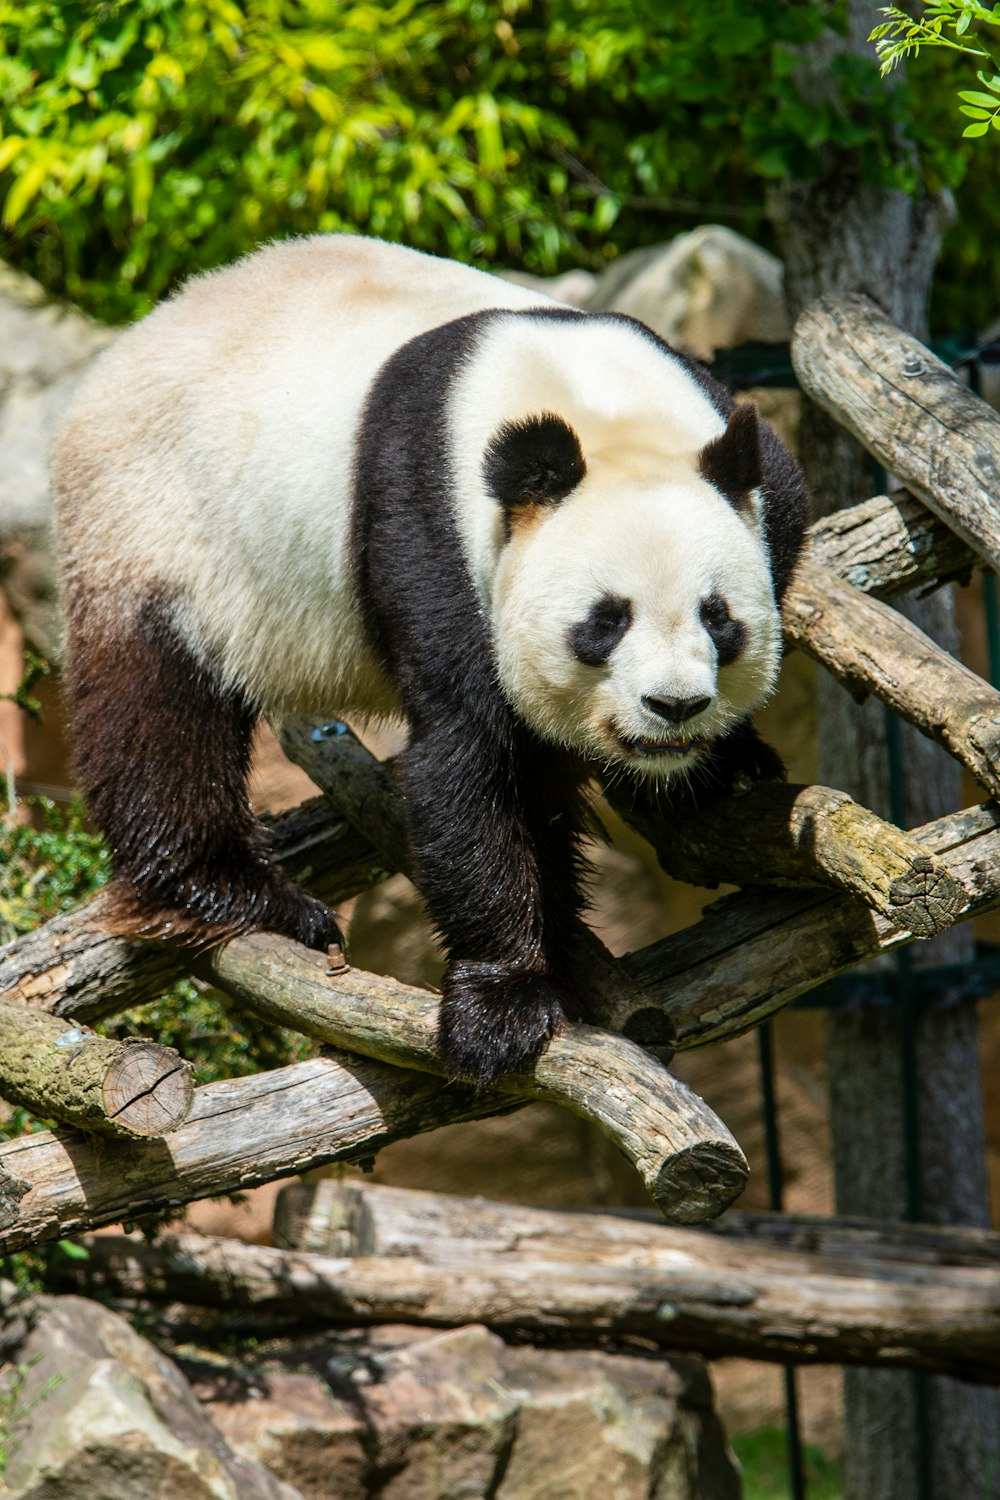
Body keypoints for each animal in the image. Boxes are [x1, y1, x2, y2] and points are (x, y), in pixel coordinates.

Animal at [50, 234, 809, 1086]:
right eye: (604, 622)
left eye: (719, 618)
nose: (674, 708)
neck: (595, 407)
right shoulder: (430, 530)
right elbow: (470, 760)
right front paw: (501, 1008)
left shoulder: (764, 489)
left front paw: (731, 765)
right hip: (155, 525)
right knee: (158, 709)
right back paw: (233, 891)